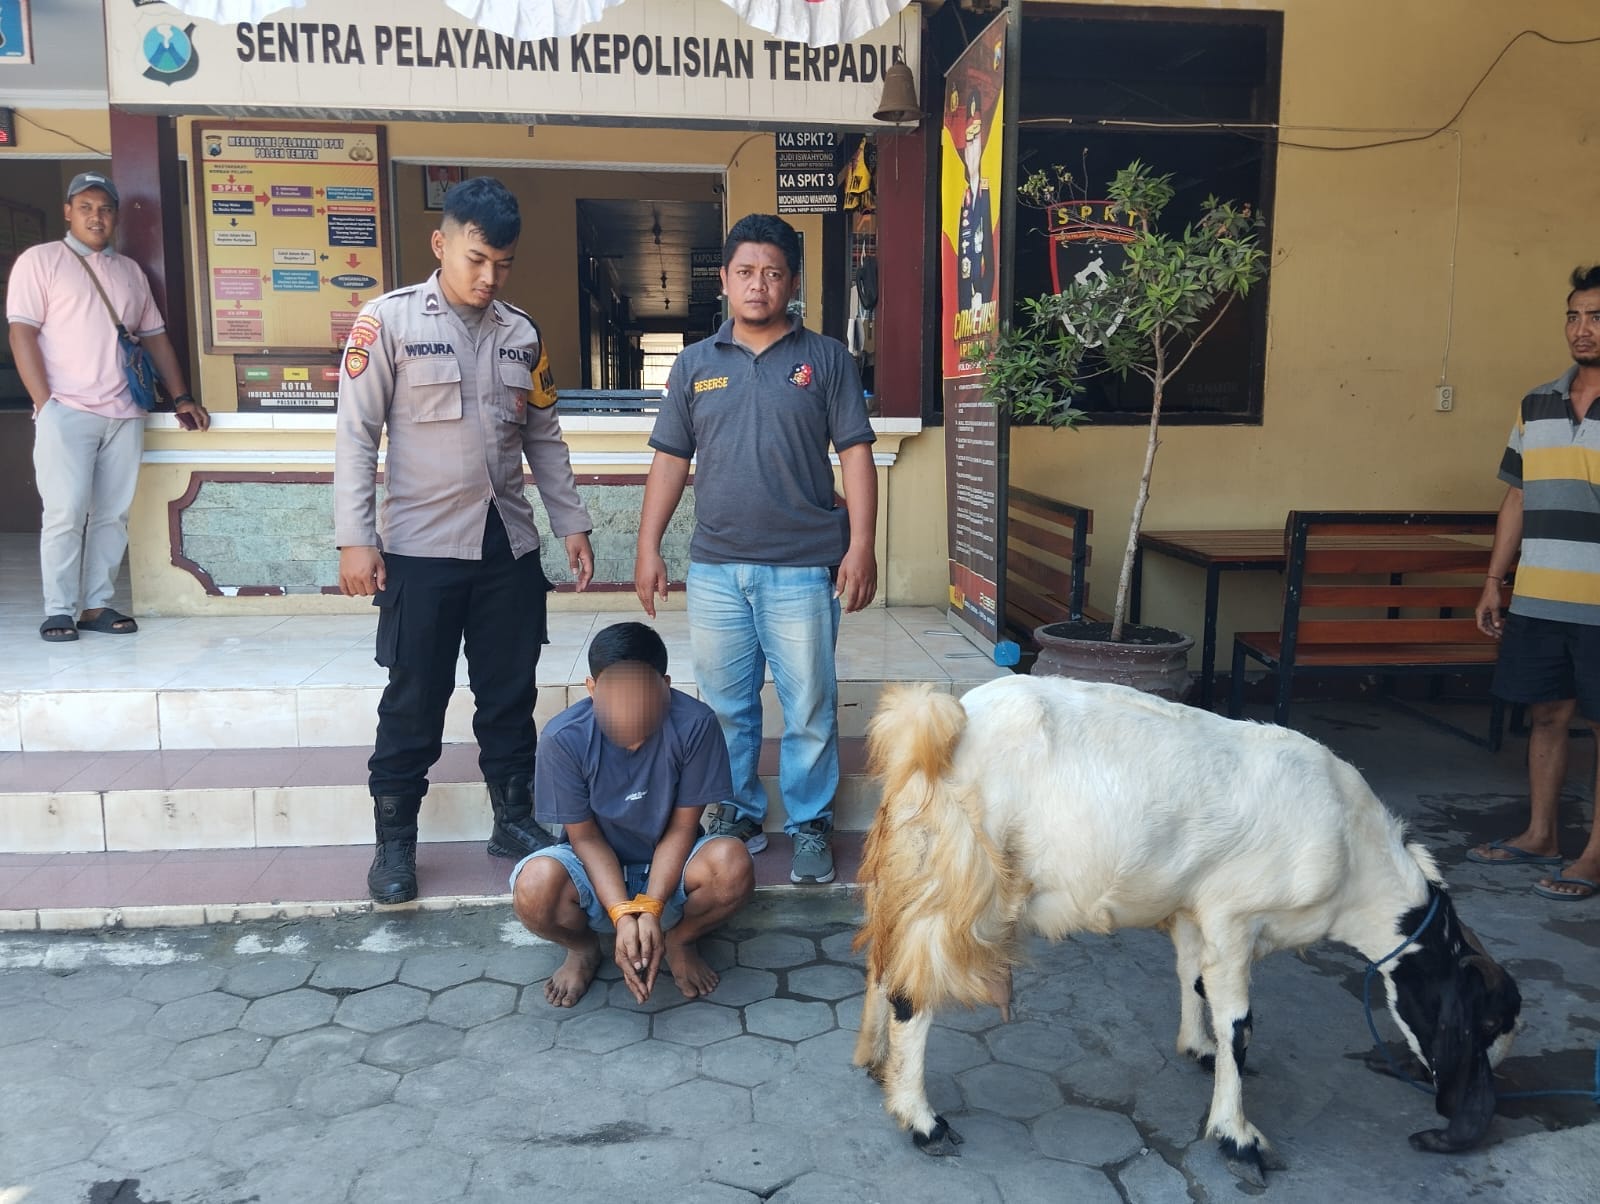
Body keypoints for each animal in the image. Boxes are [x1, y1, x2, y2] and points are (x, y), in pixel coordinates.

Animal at [857, 678, 1516, 1184]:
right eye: (1484, 1024)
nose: (1461, 1103)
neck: (1355, 855)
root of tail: (940, 726)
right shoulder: (1234, 915)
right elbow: (1239, 1023)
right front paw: (1238, 1135)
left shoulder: (1195, 911)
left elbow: (1192, 979)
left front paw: (1198, 1048)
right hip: (958, 883)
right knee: (911, 992)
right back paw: (922, 1120)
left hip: (910, 870)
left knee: (883, 963)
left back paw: (875, 1062)